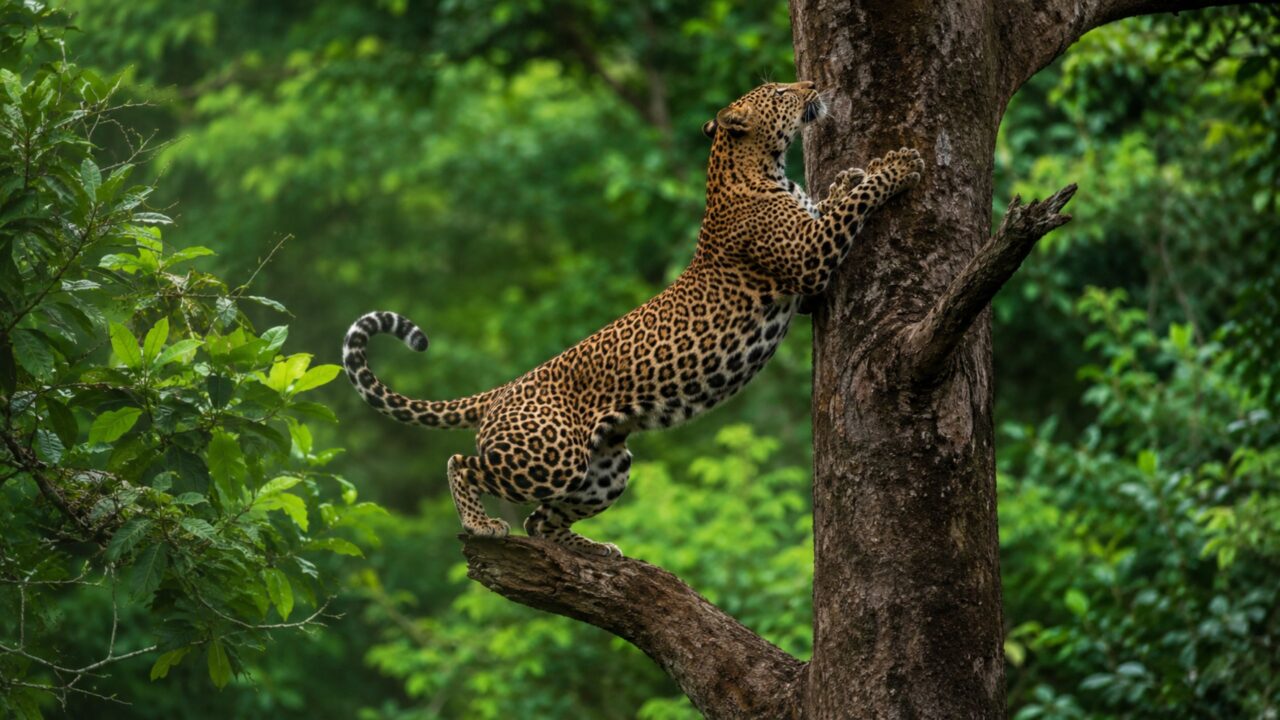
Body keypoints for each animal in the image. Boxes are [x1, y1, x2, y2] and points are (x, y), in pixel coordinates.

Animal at [342, 80, 924, 557]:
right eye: (781, 92)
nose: (813, 84)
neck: (755, 167)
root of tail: (504, 390)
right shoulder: (810, 259)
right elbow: (852, 206)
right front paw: (895, 166)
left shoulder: (806, 279)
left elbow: (834, 202)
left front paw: (851, 174)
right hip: (551, 458)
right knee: (462, 465)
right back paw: (482, 525)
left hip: (607, 468)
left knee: (540, 521)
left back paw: (594, 549)